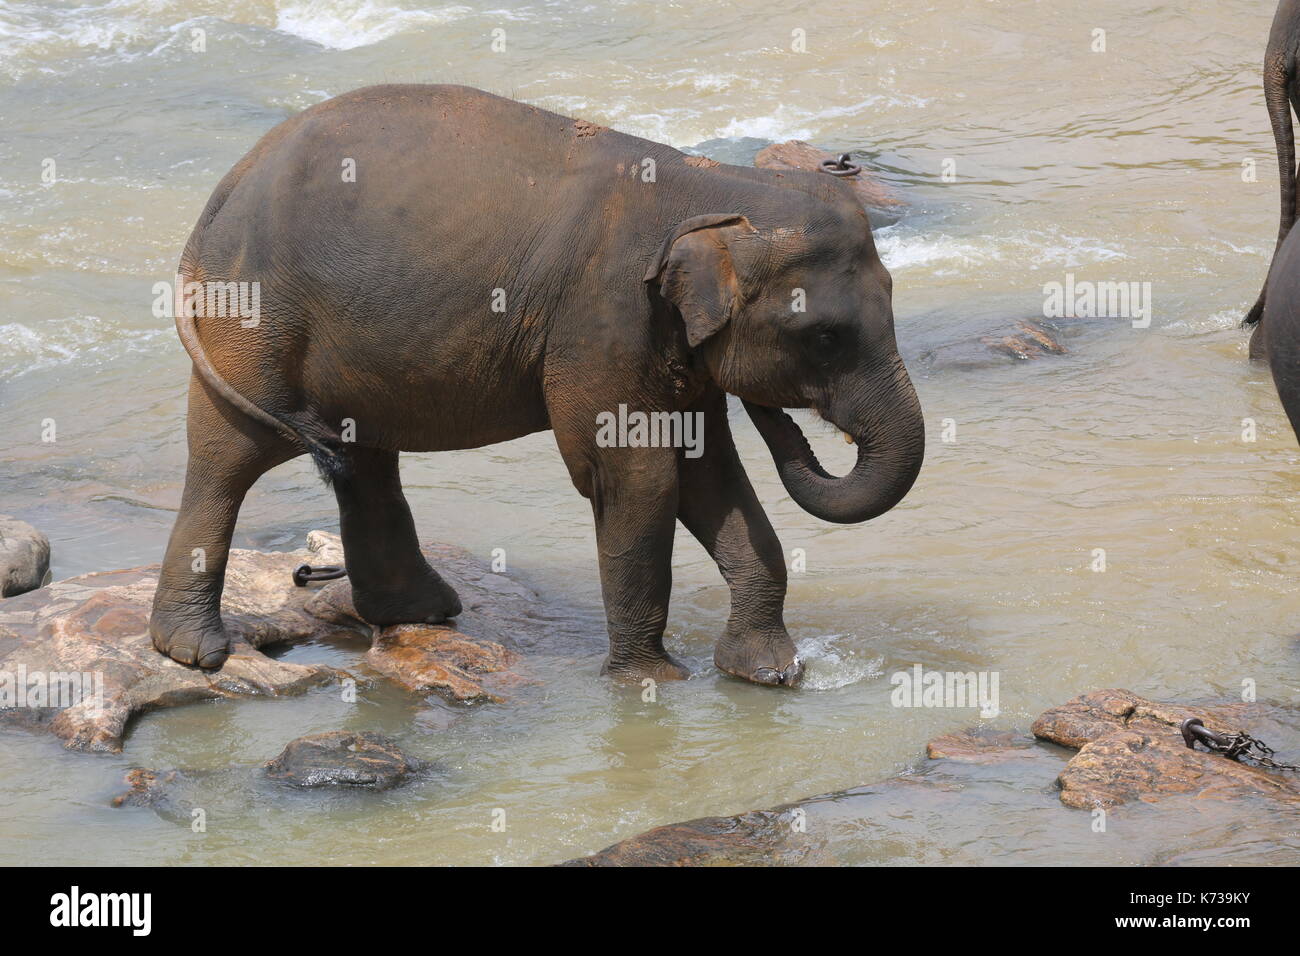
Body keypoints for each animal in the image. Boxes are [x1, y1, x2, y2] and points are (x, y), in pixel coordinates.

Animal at [149, 83, 925, 686]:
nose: (779, 417)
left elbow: (709, 474)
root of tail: (223, 191)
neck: (710, 187)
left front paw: (768, 672)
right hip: (253, 318)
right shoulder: (603, 316)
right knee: (230, 456)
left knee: (359, 458)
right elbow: (637, 476)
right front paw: (650, 682)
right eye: (823, 337)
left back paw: (422, 612)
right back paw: (195, 654)